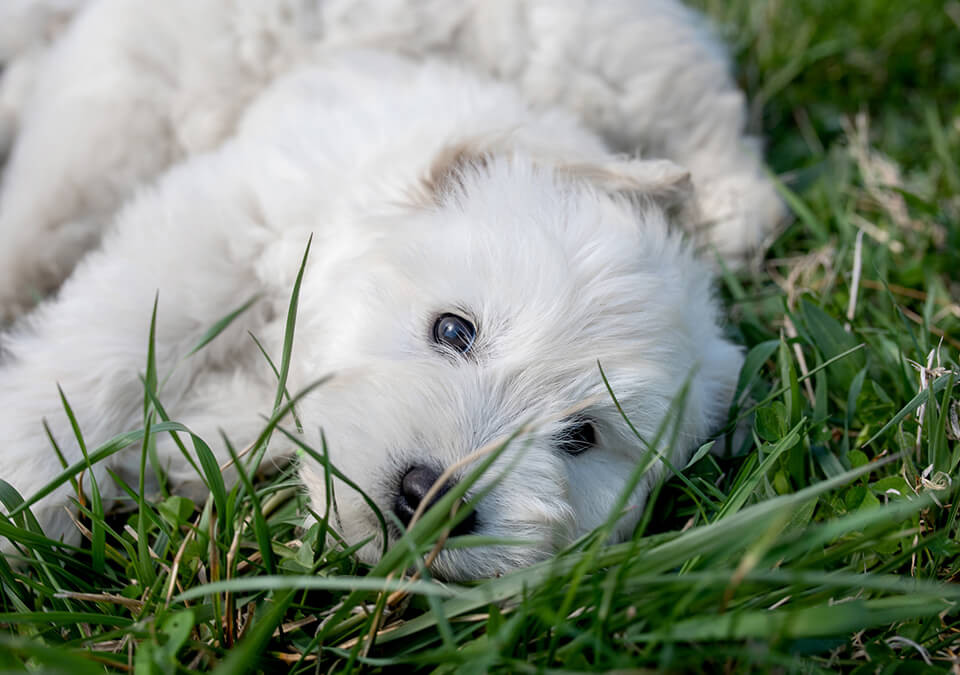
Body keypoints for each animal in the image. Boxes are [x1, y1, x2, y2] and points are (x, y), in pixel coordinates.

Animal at [0, 0, 780, 580]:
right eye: (453, 330)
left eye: (582, 436)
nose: (431, 501)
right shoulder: (219, 219)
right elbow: (107, 344)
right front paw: (27, 484)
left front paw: (200, 439)